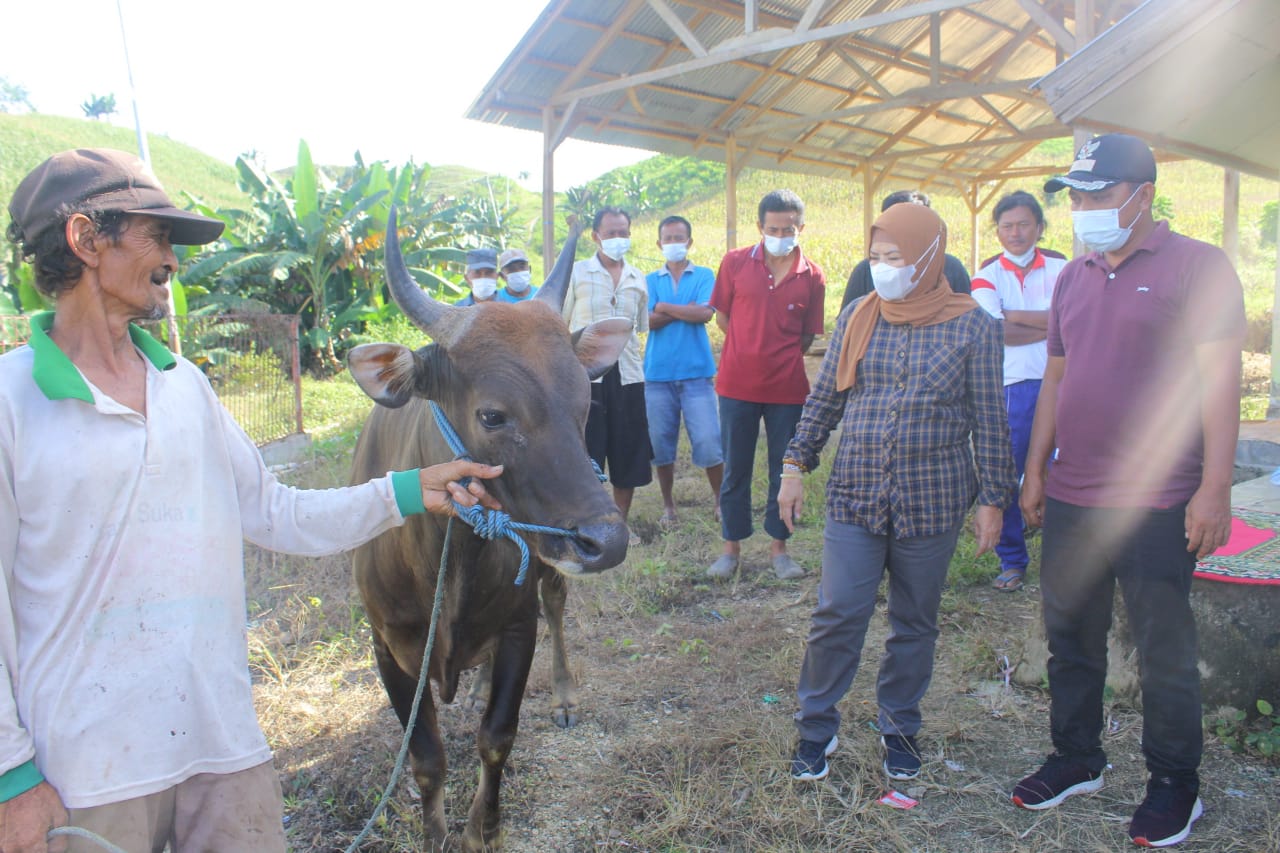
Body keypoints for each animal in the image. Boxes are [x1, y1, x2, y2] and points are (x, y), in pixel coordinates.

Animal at [348, 207, 632, 850]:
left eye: (583, 403)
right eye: (493, 415)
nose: (606, 542)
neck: (448, 560)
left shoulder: (517, 627)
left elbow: (497, 736)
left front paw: (484, 828)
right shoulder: (386, 647)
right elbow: (425, 758)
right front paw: (435, 834)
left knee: (557, 605)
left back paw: (563, 694)